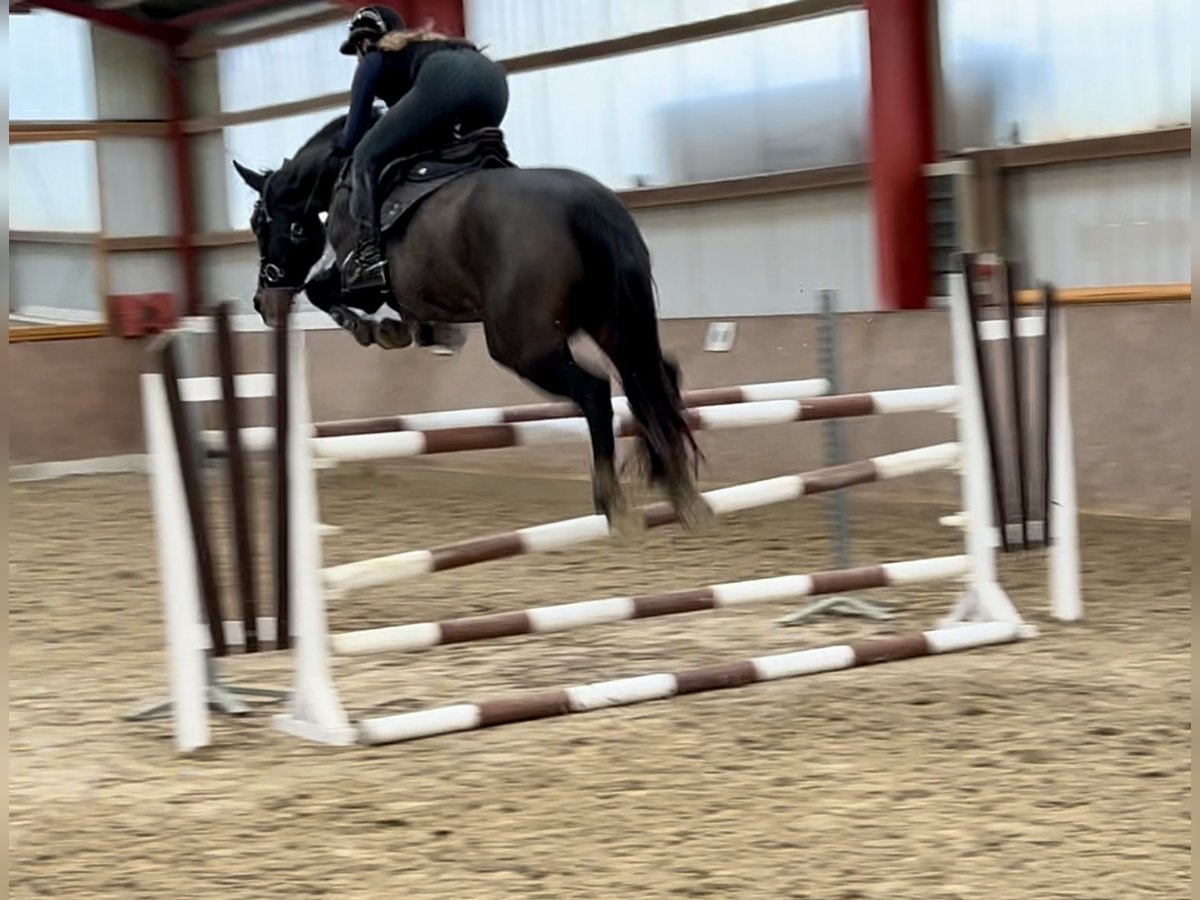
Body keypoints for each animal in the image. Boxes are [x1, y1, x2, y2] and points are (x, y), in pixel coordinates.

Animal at [234, 115, 710, 532]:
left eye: (259, 223)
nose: (263, 302)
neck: (340, 173)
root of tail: (586, 203)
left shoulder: (360, 279)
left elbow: (325, 291)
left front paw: (383, 331)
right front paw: (424, 331)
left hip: (522, 346)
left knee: (596, 392)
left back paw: (613, 501)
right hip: (616, 324)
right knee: (652, 380)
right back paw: (679, 489)